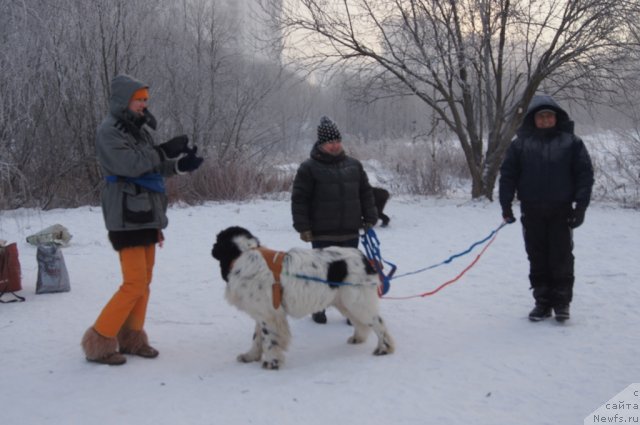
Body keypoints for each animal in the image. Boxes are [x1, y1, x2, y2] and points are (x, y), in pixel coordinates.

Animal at [211, 225, 396, 368]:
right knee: (361, 323)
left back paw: (384, 348)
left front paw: (272, 362)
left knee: (378, 322)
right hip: (344, 302)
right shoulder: (262, 312)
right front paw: (250, 356)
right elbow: (257, 338)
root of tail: (365, 258)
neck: (242, 255)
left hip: (357, 301)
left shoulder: (269, 315)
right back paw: (358, 338)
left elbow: (269, 339)